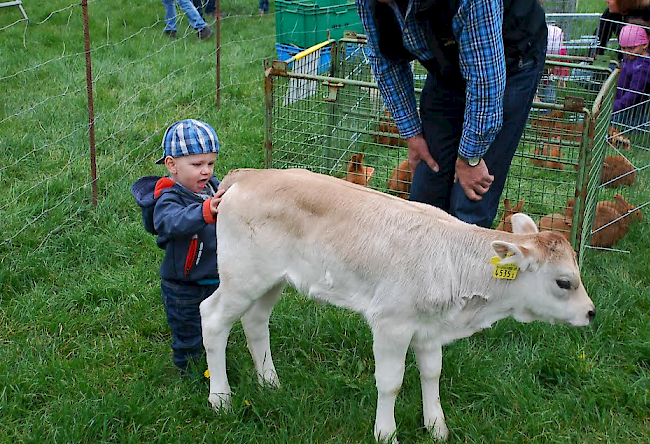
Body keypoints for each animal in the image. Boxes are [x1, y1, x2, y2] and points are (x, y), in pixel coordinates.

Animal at [200, 168, 596, 442]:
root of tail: (250, 174)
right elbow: (390, 381)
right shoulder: (391, 322)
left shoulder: (431, 325)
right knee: (213, 319)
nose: (591, 313)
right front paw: (386, 432)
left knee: (255, 320)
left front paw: (436, 426)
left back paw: (270, 382)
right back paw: (220, 398)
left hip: (272, 278)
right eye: (564, 282)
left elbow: (432, 372)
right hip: (242, 276)